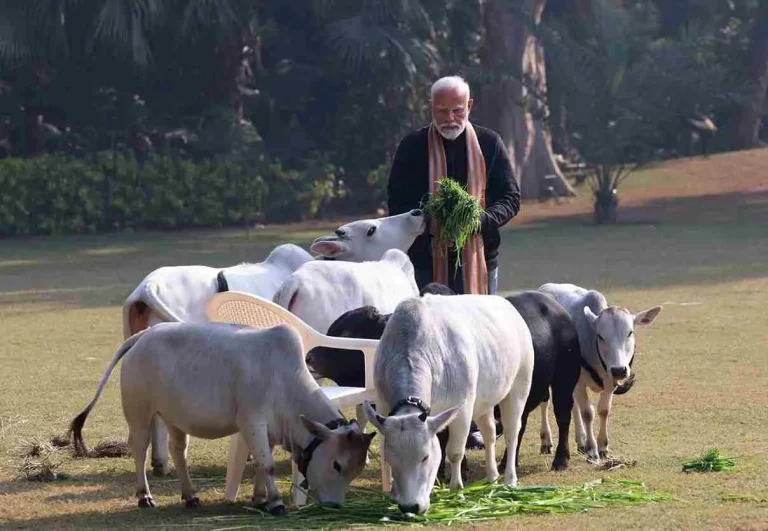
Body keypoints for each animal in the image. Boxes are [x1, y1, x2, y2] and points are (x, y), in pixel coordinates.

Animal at [69, 322, 374, 512]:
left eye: (356, 470)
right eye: (337, 464)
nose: (335, 506)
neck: (284, 380)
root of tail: (144, 334)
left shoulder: (269, 431)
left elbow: (261, 465)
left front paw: (260, 498)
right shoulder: (251, 421)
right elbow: (268, 465)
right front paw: (275, 502)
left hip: (174, 417)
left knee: (178, 451)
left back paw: (190, 495)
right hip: (139, 412)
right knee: (140, 449)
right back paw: (145, 496)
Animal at [363, 294, 535, 515]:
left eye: (425, 457)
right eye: (393, 459)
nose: (411, 506)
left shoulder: (463, 408)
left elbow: (454, 452)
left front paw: (456, 489)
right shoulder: (384, 405)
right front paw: (394, 492)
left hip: (519, 386)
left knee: (512, 433)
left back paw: (509, 479)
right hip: (484, 402)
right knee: (489, 433)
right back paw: (492, 476)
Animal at [538, 283, 662, 460]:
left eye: (630, 333)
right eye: (601, 336)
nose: (619, 370)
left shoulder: (610, 382)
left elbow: (603, 411)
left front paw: (602, 446)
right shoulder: (580, 383)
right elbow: (587, 413)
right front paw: (592, 448)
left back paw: (580, 440)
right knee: (545, 402)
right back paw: (546, 441)